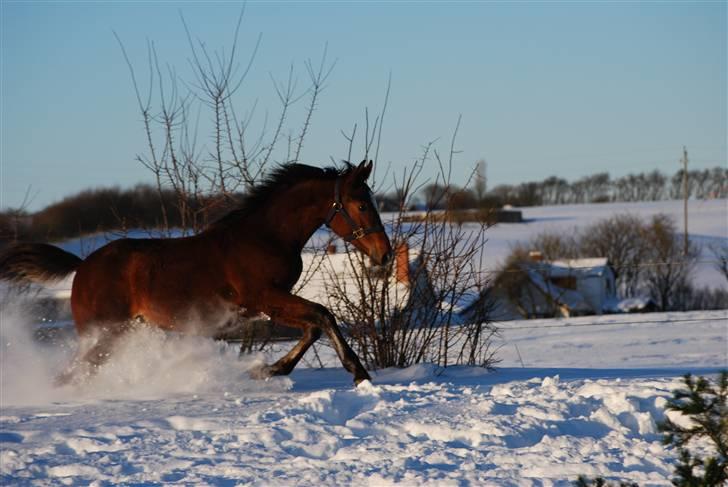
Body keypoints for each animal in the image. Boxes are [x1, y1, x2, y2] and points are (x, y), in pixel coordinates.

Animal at [0, 160, 392, 386]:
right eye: (361, 204)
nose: (385, 254)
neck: (264, 235)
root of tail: (82, 266)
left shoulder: (269, 303)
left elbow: (314, 326)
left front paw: (267, 370)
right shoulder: (265, 298)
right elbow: (324, 316)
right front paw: (359, 373)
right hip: (105, 332)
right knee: (73, 373)